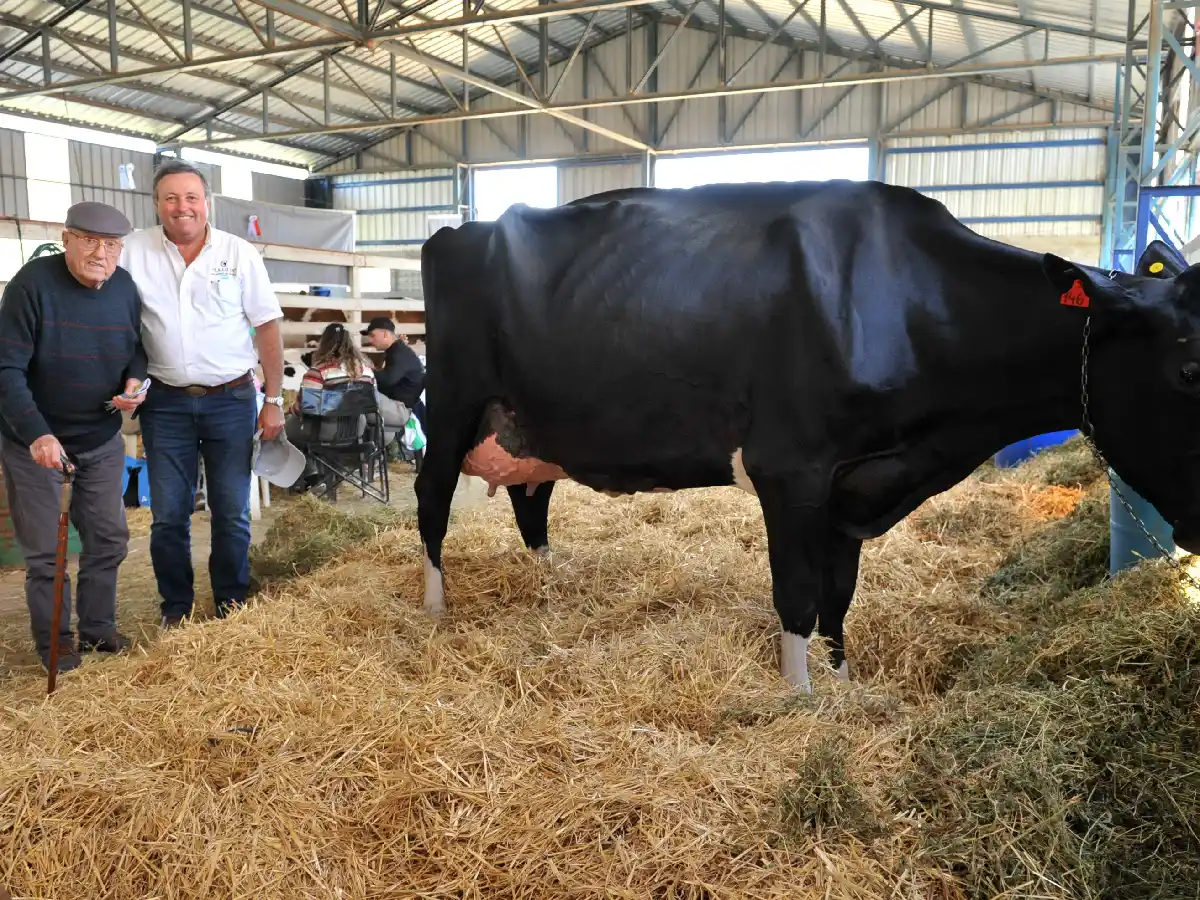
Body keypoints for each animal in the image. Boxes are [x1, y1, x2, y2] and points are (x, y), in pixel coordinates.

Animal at [414, 179, 1200, 693]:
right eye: (1190, 367)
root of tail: (459, 229)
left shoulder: (854, 485)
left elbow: (837, 594)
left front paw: (842, 680)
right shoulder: (790, 468)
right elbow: (795, 592)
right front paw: (798, 698)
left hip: (529, 422)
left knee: (533, 501)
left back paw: (552, 583)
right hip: (451, 401)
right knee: (431, 502)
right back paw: (434, 609)